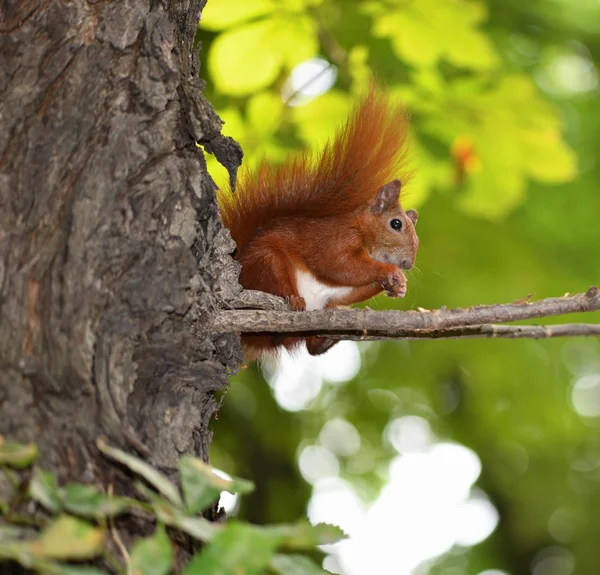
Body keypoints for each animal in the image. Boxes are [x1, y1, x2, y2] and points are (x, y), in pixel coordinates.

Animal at [218, 89, 420, 360]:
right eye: (395, 224)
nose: (408, 264)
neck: (365, 238)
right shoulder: (335, 238)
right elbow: (335, 264)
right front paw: (390, 273)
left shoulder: (344, 289)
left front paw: (398, 286)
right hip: (266, 263)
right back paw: (292, 301)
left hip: (325, 303)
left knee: (311, 347)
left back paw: (326, 338)